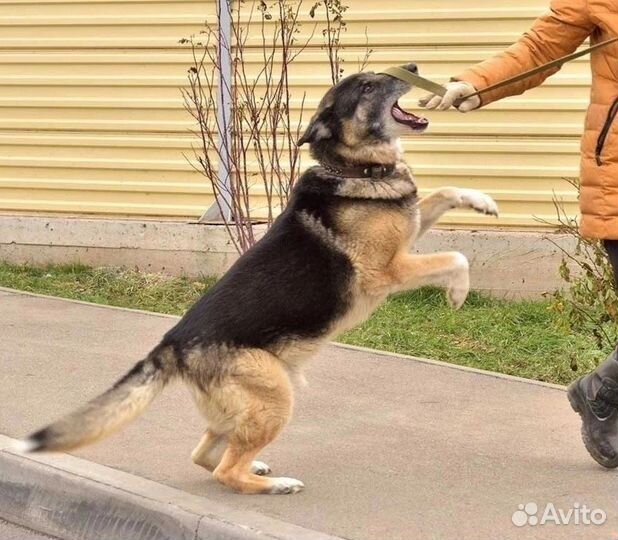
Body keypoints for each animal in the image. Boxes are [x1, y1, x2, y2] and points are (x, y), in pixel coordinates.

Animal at [14, 62, 496, 494]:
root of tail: (172, 343)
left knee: (206, 454)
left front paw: (483, 200)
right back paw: (275, 484)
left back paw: (258, 468)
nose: (413, 66)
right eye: (366, 86)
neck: (353, 168)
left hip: (255, 402)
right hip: (276, 400)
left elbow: (445, 192)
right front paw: (458, 293)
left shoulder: (410, 232)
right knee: (226, 470)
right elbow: (456, 256)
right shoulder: (390, 269)